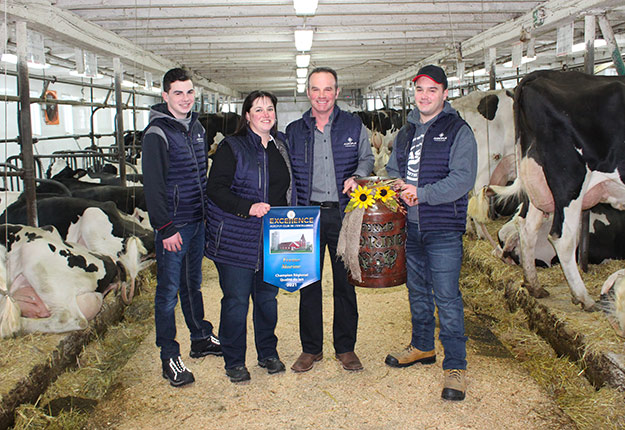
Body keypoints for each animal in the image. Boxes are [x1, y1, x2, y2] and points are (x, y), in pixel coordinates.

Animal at [508, 70, 624, 310]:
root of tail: (538, 76)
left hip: (535, 180)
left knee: (527, 226)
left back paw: (534, 286)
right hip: (569, 180)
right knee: (563, 237)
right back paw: (583, 297)